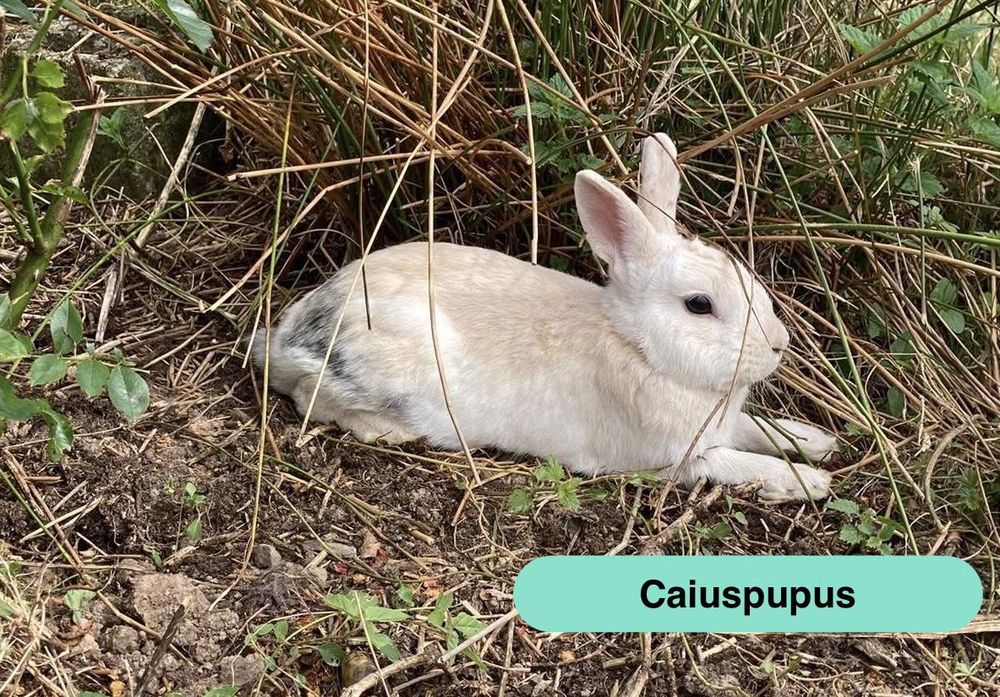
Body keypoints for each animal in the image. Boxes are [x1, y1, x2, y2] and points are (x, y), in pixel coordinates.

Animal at [252, 132, 837, 502]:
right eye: (699, 305)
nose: (779, 344)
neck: (637, 348)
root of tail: (288, 335)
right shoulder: (678, 460)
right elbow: (732, 463)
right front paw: (809, 482)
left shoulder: (724, 425)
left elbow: (759, 430)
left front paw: (817, 443)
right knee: (309, 399)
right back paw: (389, 432)